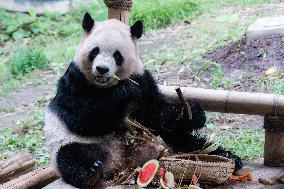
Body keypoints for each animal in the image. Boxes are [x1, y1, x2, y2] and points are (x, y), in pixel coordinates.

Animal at [43, 12, 242, 188]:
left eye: (117, 55)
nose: (102, 69)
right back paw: (90, 172)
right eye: (94, 51)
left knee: (190, 143)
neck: (105, 87)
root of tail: (121, 162)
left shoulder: (142, 78)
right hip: (72, 143)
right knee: (70, 157)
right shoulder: (74, 79)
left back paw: (230, 157)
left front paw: (192, 113)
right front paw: (126, 90)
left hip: (169, 141)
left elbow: (156, 114)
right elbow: (83, 118)